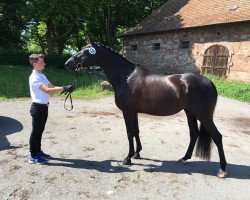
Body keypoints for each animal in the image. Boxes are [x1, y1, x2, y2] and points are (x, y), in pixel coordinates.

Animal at [64, 41, 227, 178]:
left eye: (85, 51)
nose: (68, 63)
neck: (126, 77)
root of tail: (209, 82)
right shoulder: (134, 112)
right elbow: (136, 131)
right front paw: (137, 153)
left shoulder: (127, 112)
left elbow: (129, 133)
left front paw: (128, 158)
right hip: (190, 112)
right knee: (194, 134)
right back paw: (184, 158)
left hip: (203, 115)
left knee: (217, 137)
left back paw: (222, 169)